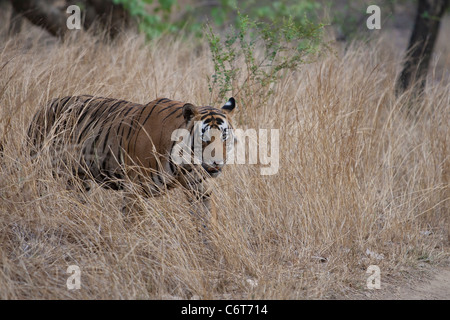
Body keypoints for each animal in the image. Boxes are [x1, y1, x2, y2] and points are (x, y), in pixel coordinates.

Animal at [27, 94, 237, 229]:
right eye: (204, 138)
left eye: (224, 136)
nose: (217, 163)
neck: (183, 163)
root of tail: (44, 106)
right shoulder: (134, 189)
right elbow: (133, 225)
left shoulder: (200, 190)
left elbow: (207, 222)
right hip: (40, 166)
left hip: (79, 179)